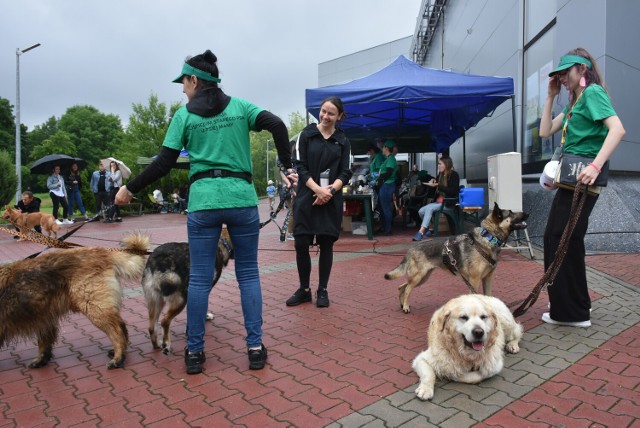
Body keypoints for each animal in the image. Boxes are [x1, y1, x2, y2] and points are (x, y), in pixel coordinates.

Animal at [0, 232, 149, 370]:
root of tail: (103, 253)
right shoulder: (42, 316)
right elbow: (44, 341)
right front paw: (42, 359)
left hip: (93, 307)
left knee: (117, 330)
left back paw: (118, 358)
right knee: (121, 327)